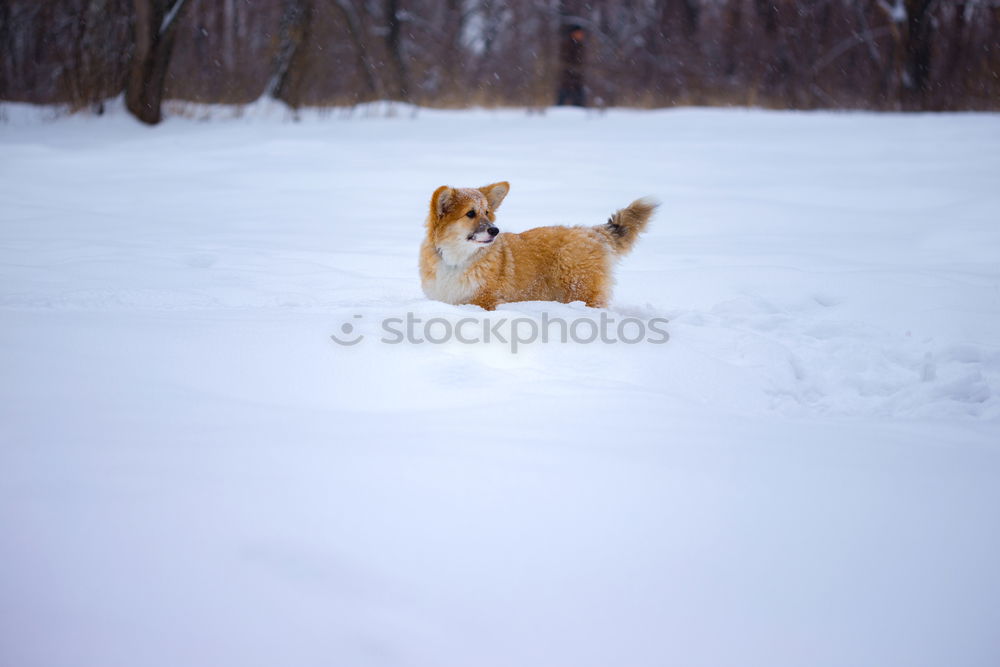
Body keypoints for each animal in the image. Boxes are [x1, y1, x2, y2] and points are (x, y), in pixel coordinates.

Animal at [420, 180, 656, 310]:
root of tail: (591, 232)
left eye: (487, 212)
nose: (495, 230)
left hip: (580, 291)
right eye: (470, 213)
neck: (457, 260)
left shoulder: (485, 301)